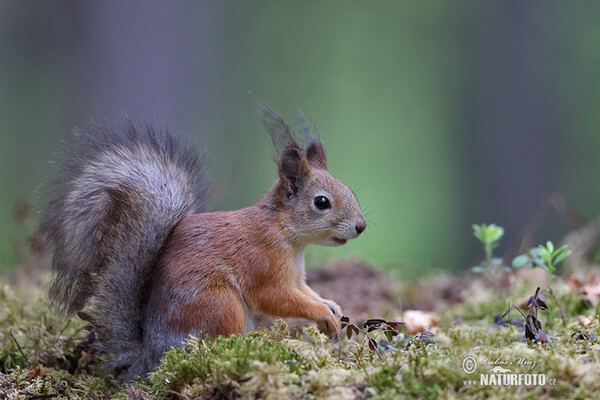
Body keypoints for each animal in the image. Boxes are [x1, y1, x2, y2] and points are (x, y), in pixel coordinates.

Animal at [36, 102, 370, 378]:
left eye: (349, 189)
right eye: (322, 202)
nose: (361, 226)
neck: (286, 234)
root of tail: (154, 356)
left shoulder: (297, 276)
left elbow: (305, 291)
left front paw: (331, 307)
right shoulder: (261, 263)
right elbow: (276, 297)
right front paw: (320, 313)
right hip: (219, 303)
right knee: (219, 343)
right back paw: (255, 346)